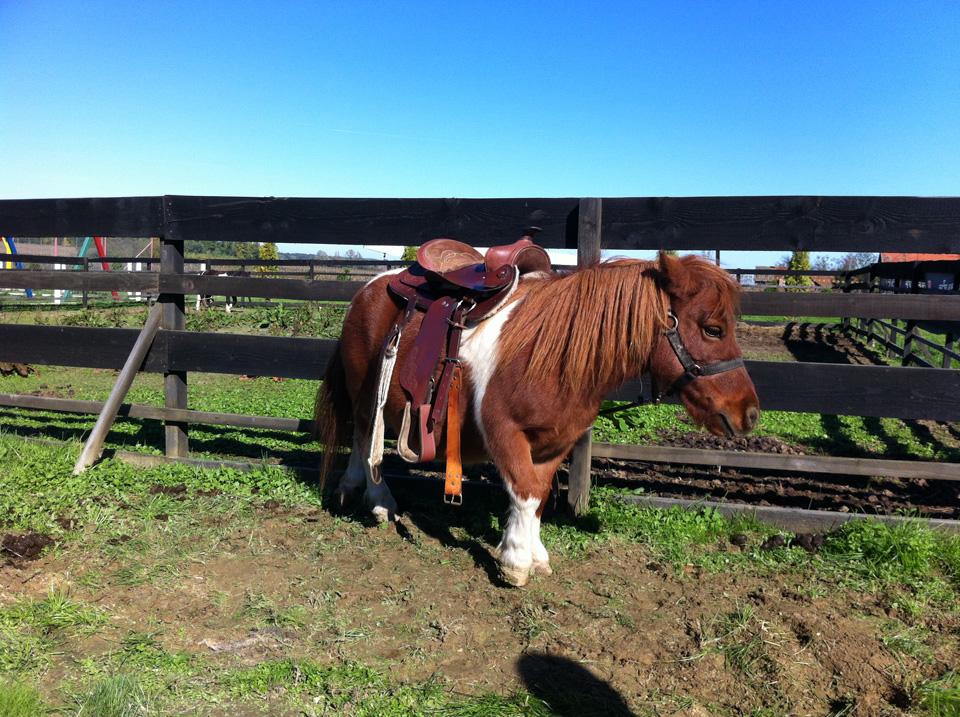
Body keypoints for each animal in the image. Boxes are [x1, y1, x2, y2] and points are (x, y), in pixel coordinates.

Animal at [318, 252, 760, 588]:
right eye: (713, 329)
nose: (749, 413)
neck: (550, 357)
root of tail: (369, 289)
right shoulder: (505, 434)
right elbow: (524, 492)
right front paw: (515, 561)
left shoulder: (555, 443)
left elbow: (540, 495)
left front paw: (536, 554)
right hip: (365, 395)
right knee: (365, 436)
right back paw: (379, 501)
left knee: (362, 440)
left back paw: (352, 488)